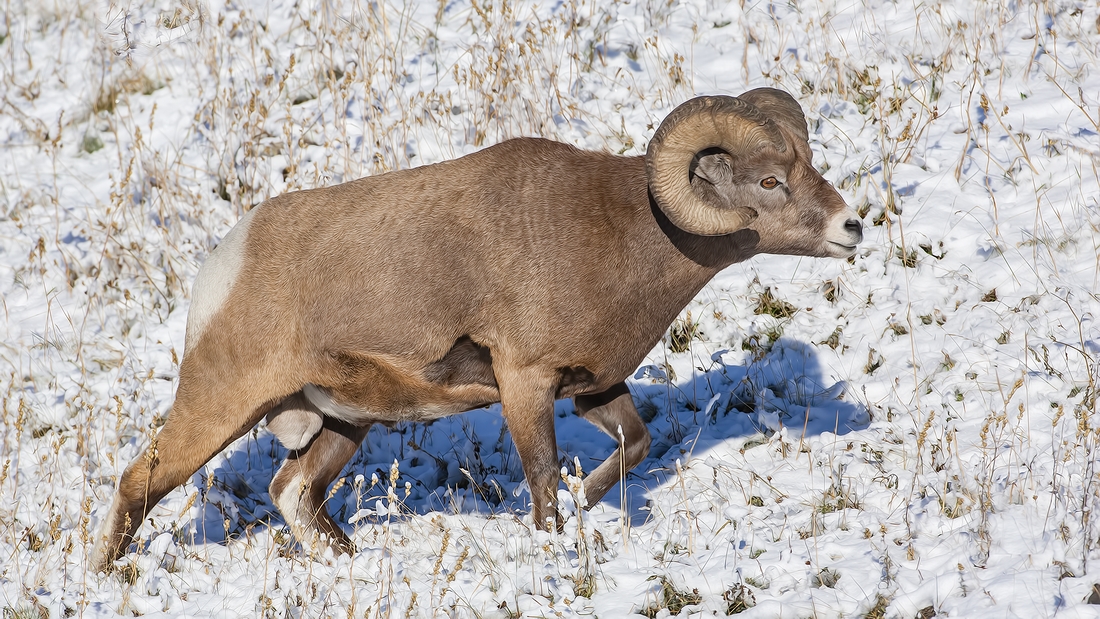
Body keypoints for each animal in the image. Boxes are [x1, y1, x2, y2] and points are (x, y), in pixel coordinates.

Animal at [92, 89, 858, 567]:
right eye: (769, 182)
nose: (853, 227)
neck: (620, 236)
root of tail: (222, 263)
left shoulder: (593, 388)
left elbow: (631, 449)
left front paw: (586, 505)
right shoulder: (525, 383)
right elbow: (542, 479)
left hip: (342, 424)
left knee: (294, 495)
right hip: (221, 404)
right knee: (138, 483)